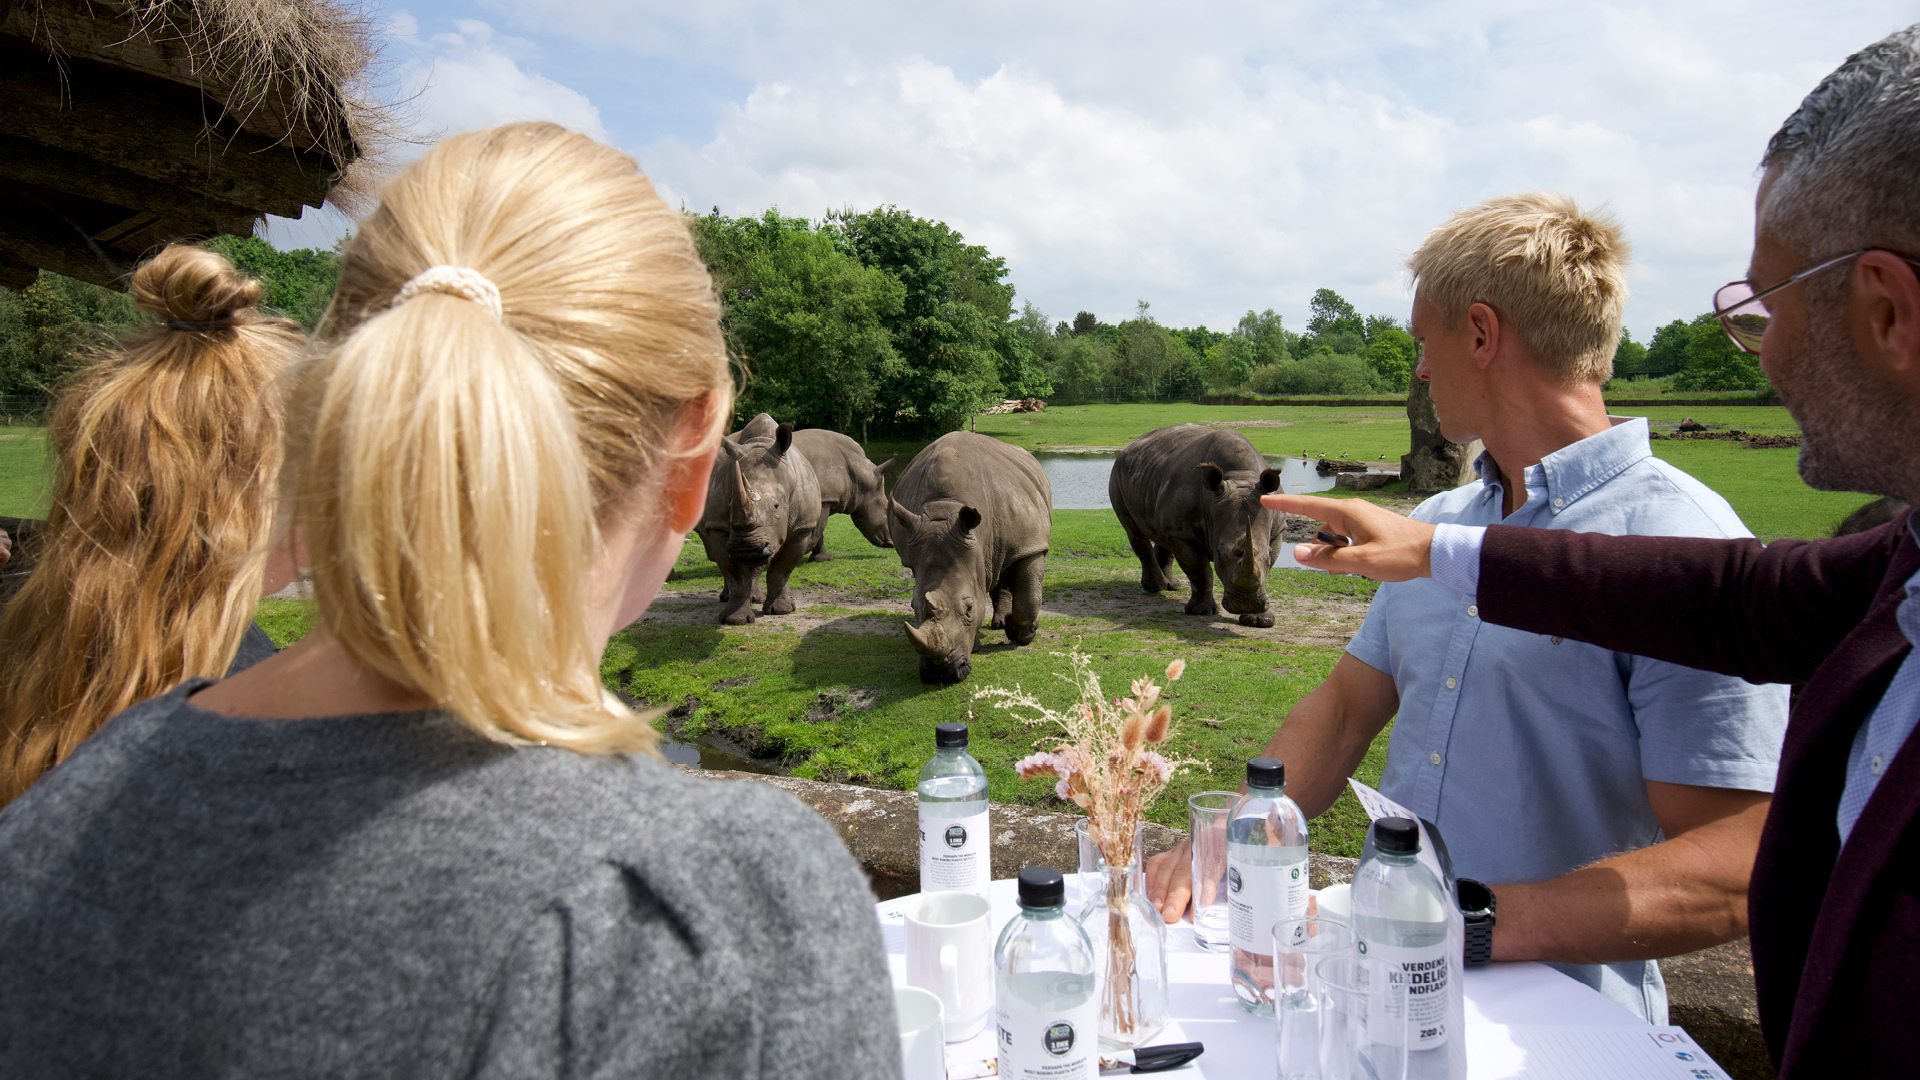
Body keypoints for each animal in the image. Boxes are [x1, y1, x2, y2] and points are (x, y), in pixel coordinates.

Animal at [698, 414, 822, 624]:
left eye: (776, 507)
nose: (745, 547)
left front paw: (781, 611)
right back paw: (728, 597)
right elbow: (735, 574)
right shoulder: (718, 527)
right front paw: (735, 620)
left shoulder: (802, 528)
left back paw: (755, 598)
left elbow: (781, 571)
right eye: (730, 507)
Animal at [790, 428, 895, 559]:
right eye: (886, 510)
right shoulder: (825, 498)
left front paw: (821, 558)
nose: (893, 543)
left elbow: (819, 533)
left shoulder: (827, 497)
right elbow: (818, 530)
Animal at [889, 432, 1051, 683]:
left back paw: (1002, 625)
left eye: (969, 609)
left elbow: (1029, 598)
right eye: (912, 606)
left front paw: (1020, 635)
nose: (940, 673)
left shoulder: (1030, 544)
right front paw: (975, 645)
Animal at [1109, 424, 1284, 628]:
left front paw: (1258, 619)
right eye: (1219, 555)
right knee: (1134, 531)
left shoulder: (1277, 531)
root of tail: (1130, 445)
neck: (1241, 477)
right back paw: (1155, 587)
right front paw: (1201, 611)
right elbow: (1200, 571)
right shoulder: (1184, 535)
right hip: (1117, 474)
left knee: (1163, 534)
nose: (1245, 604)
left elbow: (1266, 569)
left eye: (1266, 555)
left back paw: (1172, 586)